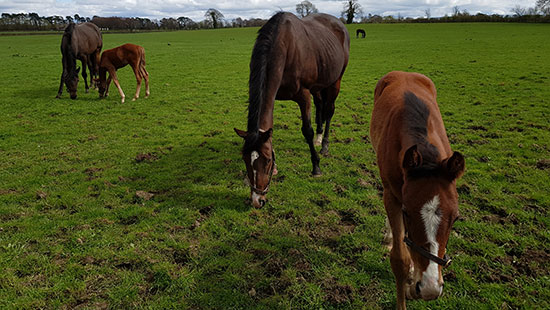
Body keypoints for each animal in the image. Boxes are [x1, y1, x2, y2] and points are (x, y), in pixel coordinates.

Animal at [233, 12, 350, 208]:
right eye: (244, 158)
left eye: (267, 160)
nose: (258, 200)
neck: (284, 47)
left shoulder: (303, 95)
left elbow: (307, 130)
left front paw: (316, 167)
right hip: (318, 86)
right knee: (320, 105)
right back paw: (319, 138)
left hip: (335, 81)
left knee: (328, 111)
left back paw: (324, 144)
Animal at [370, 71, 466, 310]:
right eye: (407, 213)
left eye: (456, 218)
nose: (430, 288)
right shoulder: (393, 197)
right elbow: (400, 259)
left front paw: (414, 283)